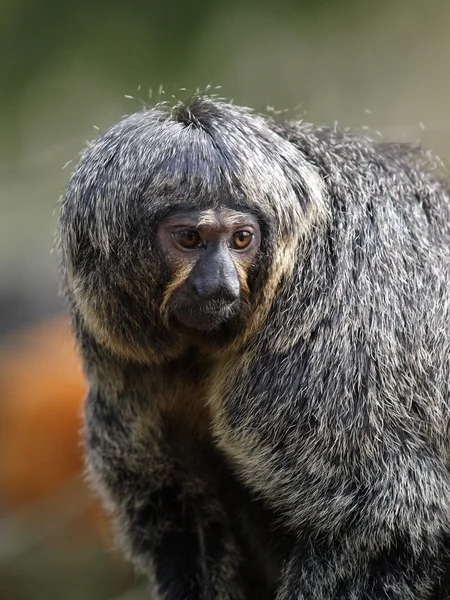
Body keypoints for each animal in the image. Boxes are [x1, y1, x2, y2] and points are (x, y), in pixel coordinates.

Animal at [58, 96, 450, 596]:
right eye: (190, 238)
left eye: (241, 239)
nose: (219, 284)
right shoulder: (127, 365)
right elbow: (178, 510)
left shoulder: (316, 361)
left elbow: (393, 521)